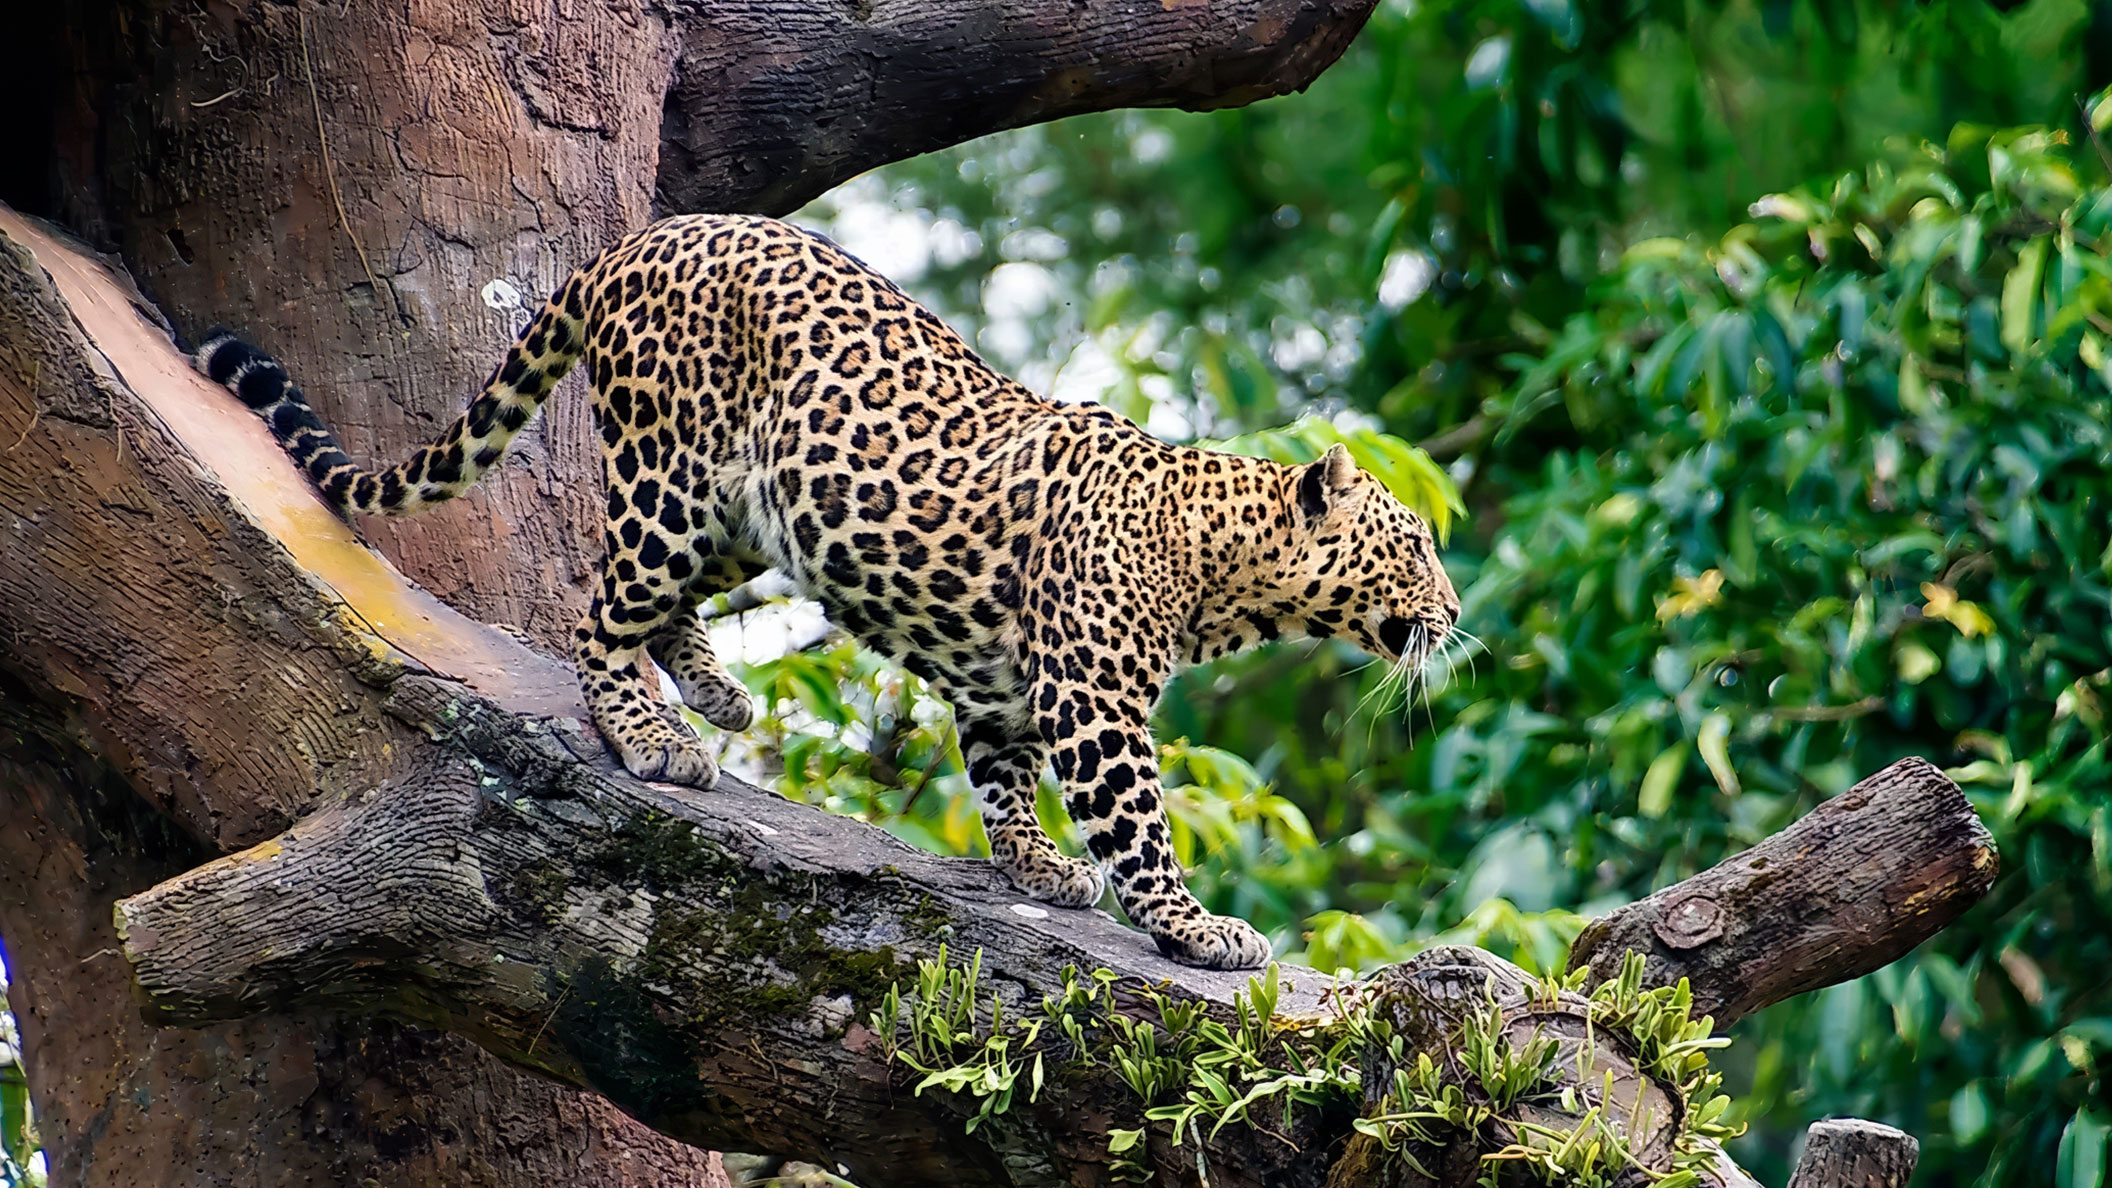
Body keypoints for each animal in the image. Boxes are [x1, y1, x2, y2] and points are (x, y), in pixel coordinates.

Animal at [194, 212, 1453, 968]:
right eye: (1414, 545)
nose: (1452, 620)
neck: (1221, 569)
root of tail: (639, 241)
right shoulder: (1095, 705)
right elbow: (1138, 825)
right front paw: (1201, 930)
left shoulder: (1006, 690)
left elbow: (1002, 780)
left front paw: (1037, 865)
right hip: (672, 474)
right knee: (602, 609)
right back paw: (653, 735)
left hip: (754, 511)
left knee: (668, 601)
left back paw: (717, 695)